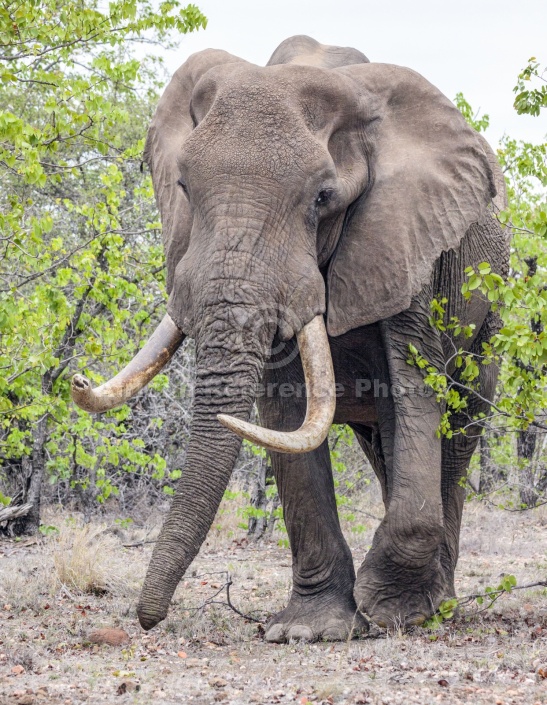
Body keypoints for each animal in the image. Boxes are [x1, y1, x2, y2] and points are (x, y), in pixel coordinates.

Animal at [70, 31, 512, 640]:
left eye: (323, 198)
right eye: (182, 186)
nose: (147, 620)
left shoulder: (407, 240)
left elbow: (413, 389)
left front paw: (391, 612)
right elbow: (286, 407)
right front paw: (311, 629)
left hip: (491, 310)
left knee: (459, 428)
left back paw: (437, 606)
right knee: (382, 446)